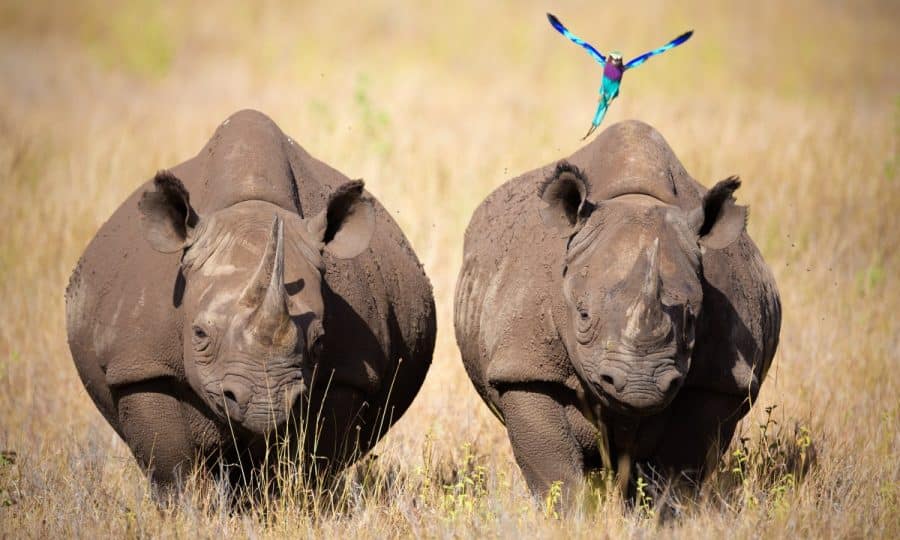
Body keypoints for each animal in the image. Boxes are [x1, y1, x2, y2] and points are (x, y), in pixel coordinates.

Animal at [66, 110, 436, 492]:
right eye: (199, 334)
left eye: (320, 341)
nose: (264, 402)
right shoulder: (140, 363)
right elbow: (171, 467)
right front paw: (190, 504)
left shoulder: (349, 374)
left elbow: (308, 463)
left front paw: (286, 500)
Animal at [454, 120, 780, 502]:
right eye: (582, 316)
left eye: (691, 322)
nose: (642, 385)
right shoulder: (525, 368)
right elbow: (553, 470)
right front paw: (567, 512)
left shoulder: (719, 379)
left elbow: (679, 472)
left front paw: (663, 512)